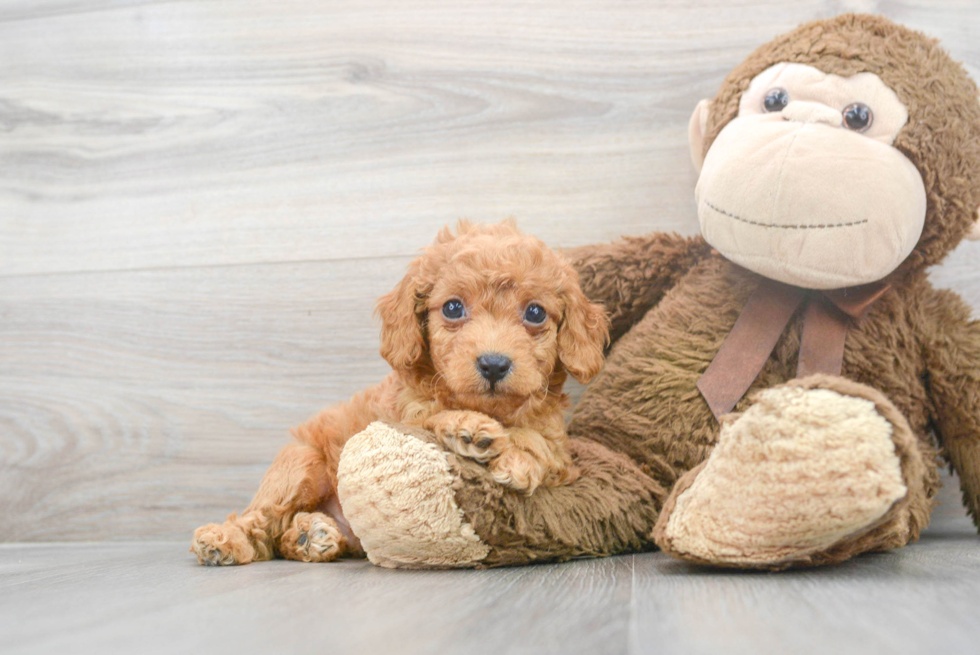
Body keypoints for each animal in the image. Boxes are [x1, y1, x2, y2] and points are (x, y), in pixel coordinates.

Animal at [189, 222, 604, 568]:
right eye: (453, 307)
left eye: (535, 313)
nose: (493, 364)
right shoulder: (400, 415)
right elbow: (429, 416)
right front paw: (469, 429)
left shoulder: (558, 448)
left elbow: (541, 444)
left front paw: (518, 458)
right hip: (301, 466)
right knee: (259, 522)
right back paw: (225, 540)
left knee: (284, 535)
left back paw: (311, 536)